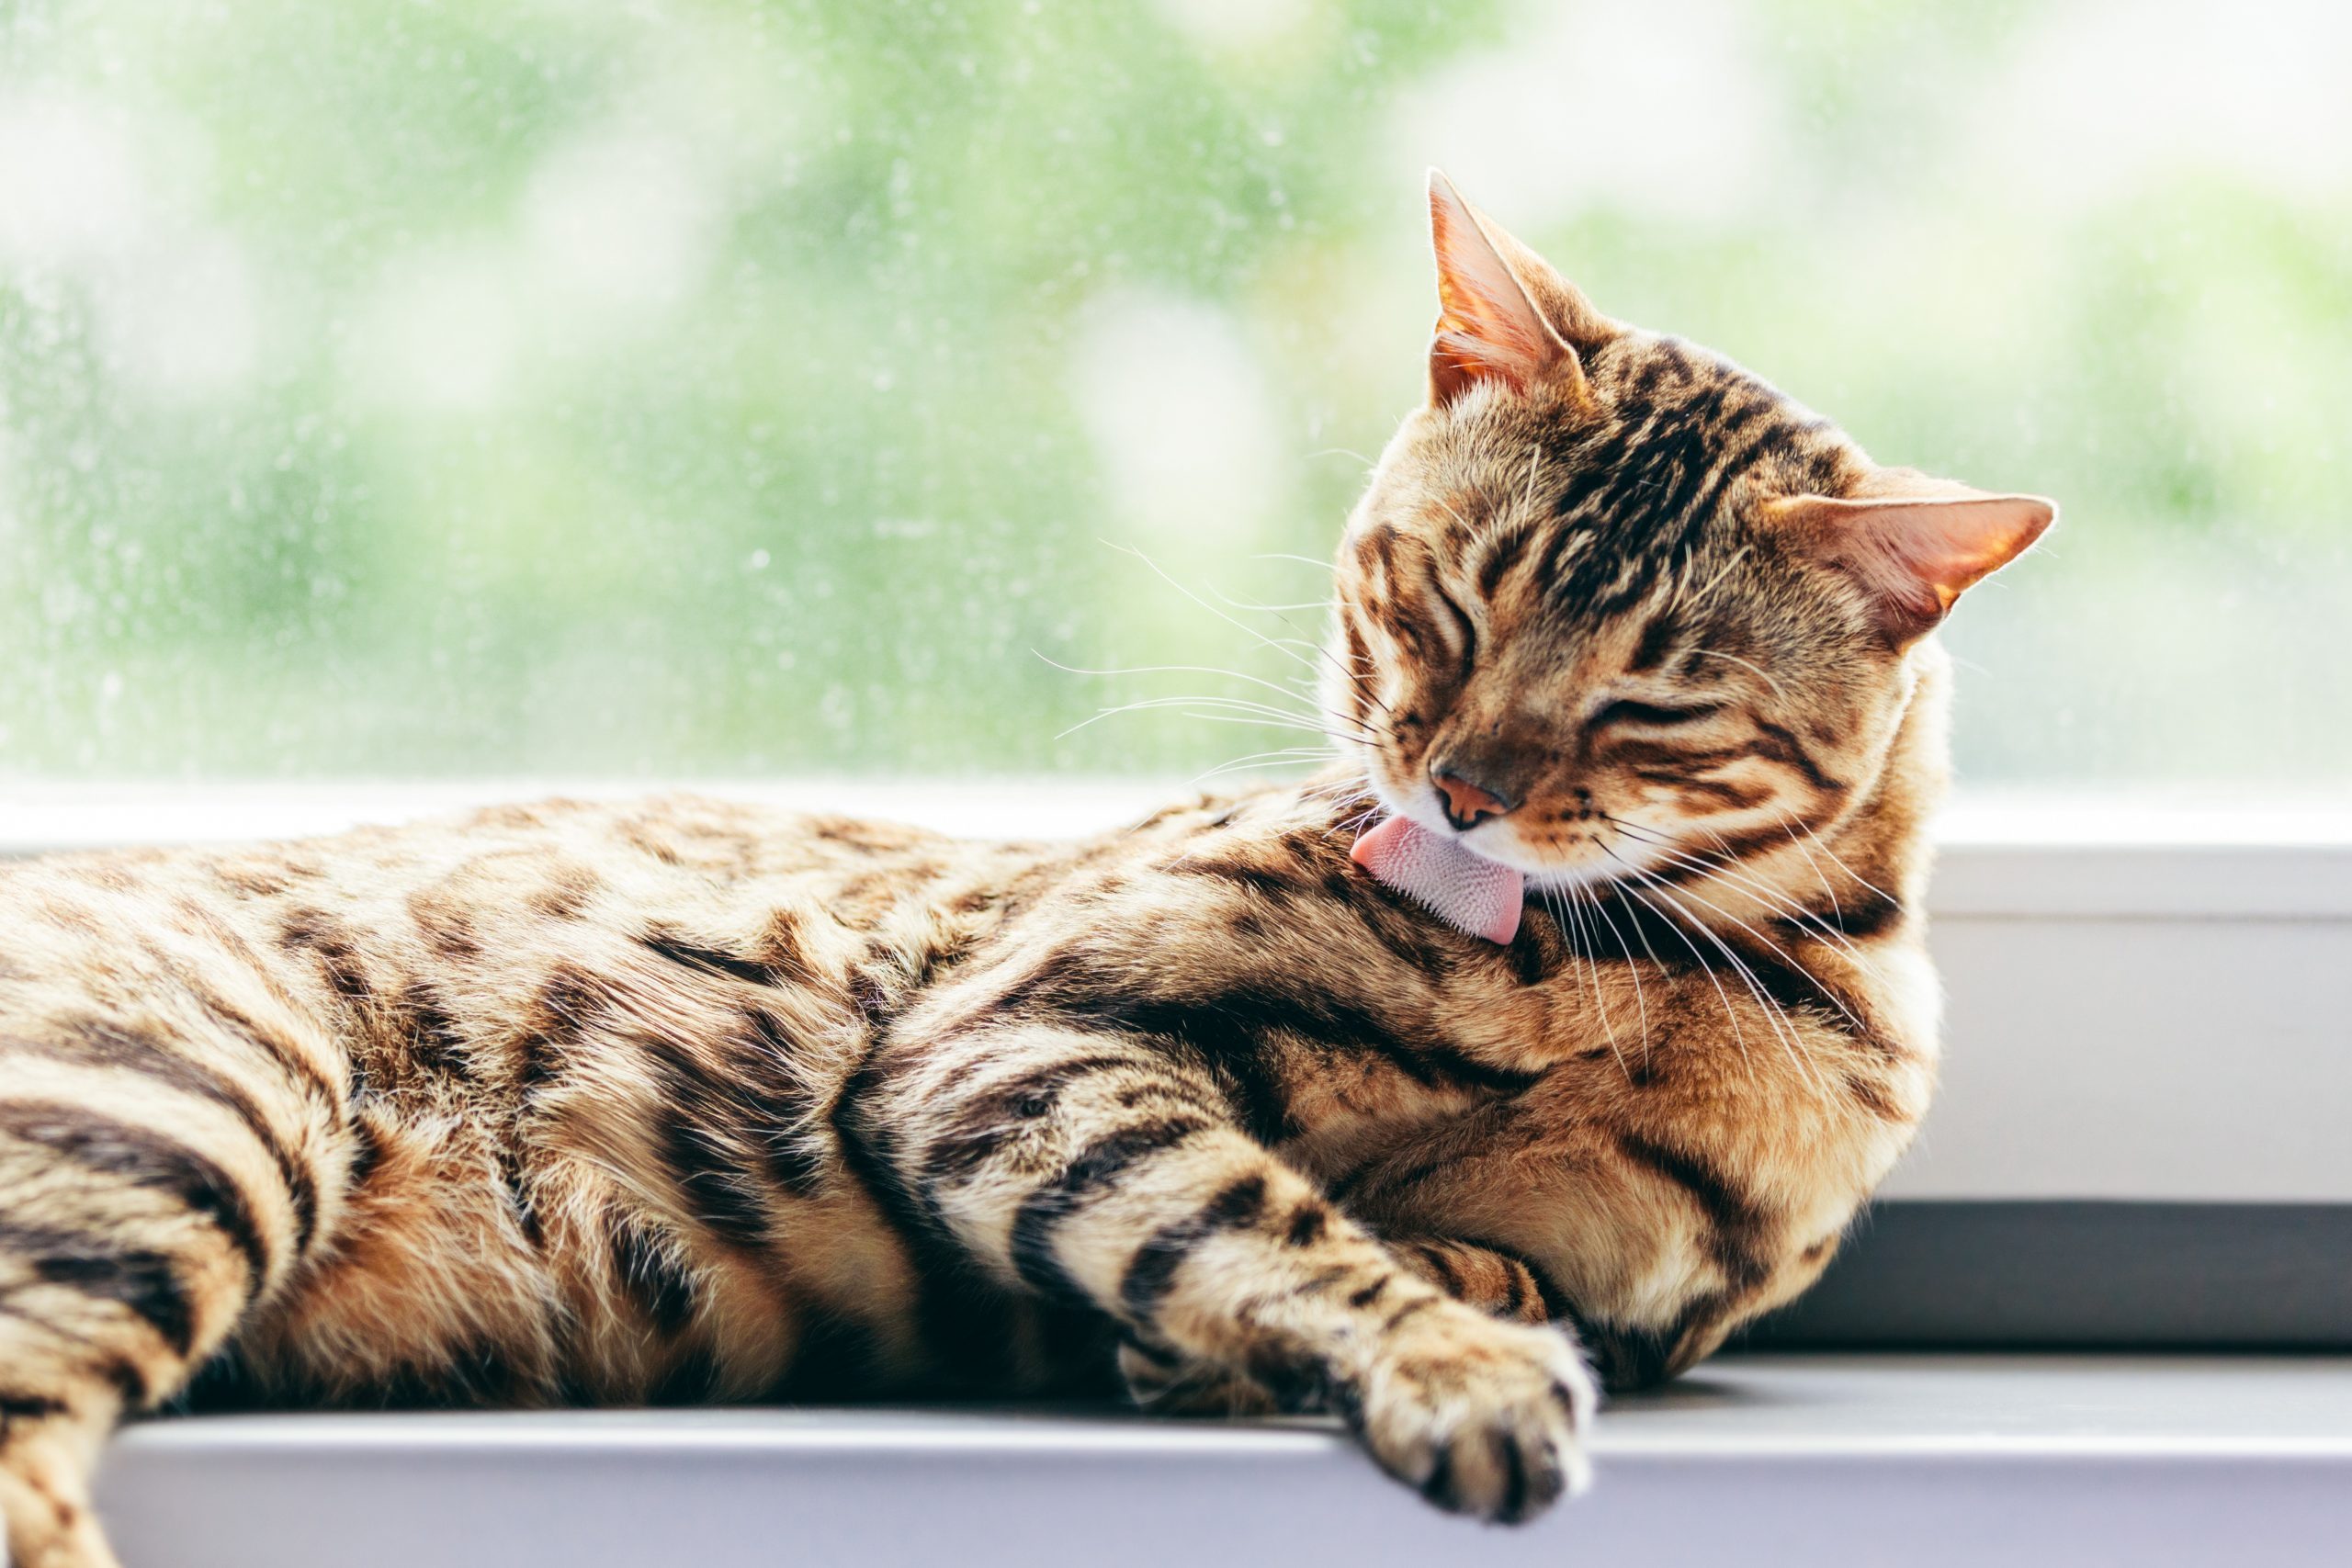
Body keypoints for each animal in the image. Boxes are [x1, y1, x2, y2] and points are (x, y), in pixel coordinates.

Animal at [0, 175, 2041, 1568]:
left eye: (1644, 698)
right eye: (1447, 601)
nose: (1459, 786)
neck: (1648, 977)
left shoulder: (1628, 1278)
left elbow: (1486, 1261)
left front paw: (1340, 1324)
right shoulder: (1008, 1038)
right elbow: (1255, 1208)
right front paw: (1441, 1363)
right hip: (196, 1104)